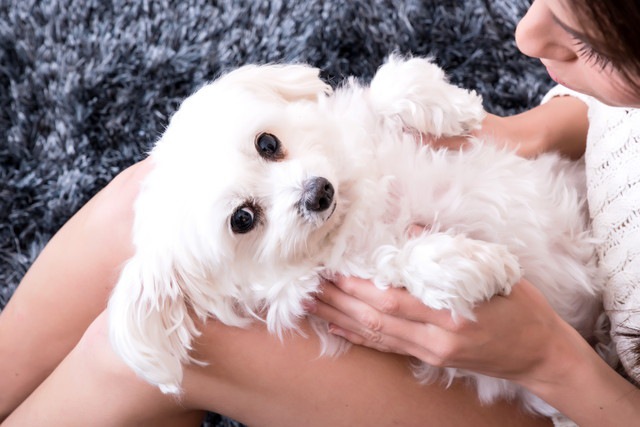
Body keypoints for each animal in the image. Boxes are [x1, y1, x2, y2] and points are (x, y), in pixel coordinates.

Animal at [107, 55, 604, 416]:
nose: (318, 192)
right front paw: (469, 265)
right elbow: (403, 261)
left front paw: (450, 106)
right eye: (243, 219)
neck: (357, 204)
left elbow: (385, 89)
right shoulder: (353, 272)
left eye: (267, 143)